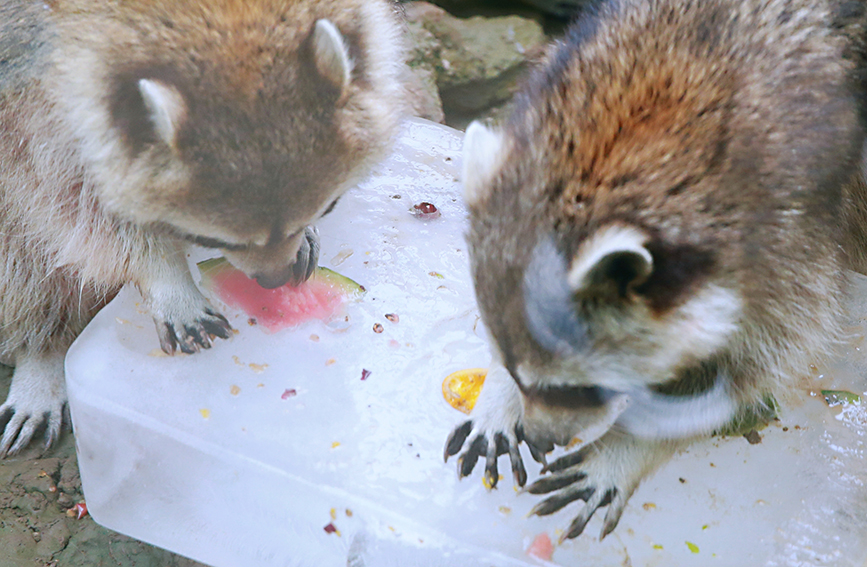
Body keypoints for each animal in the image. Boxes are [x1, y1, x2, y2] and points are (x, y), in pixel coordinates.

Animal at [0, 0, 406, 460]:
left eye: (331, 204)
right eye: (215, 240)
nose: (273, 281)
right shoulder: (32, 104)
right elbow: (71, 203)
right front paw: (164, 275)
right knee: (21, 248)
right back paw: (42, 352)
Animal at [448, 0, 867, 540]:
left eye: (578, 386)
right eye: (518, 372)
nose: (544, 438)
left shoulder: (793, 237)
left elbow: (746, 374)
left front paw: (625, 448)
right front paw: (500, 391)